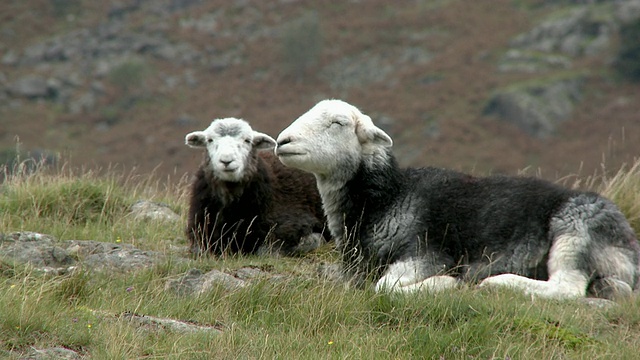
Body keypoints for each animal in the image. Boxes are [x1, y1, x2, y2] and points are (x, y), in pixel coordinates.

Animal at [184, 118, 324, 256]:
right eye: (209, 140)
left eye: (247, 140)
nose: (226, 161)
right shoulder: (201, 231)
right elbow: (200, 250)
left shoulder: (296, 222)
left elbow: (267, 251)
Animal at [276, 100, 640, 300]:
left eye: (337, 123)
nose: (283, 141)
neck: (386, 199)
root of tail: (629, 245)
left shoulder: (427, 253)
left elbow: (384, 288)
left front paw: (444, 284)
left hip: (576, 229)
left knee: (567, 287)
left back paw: (498, 283)